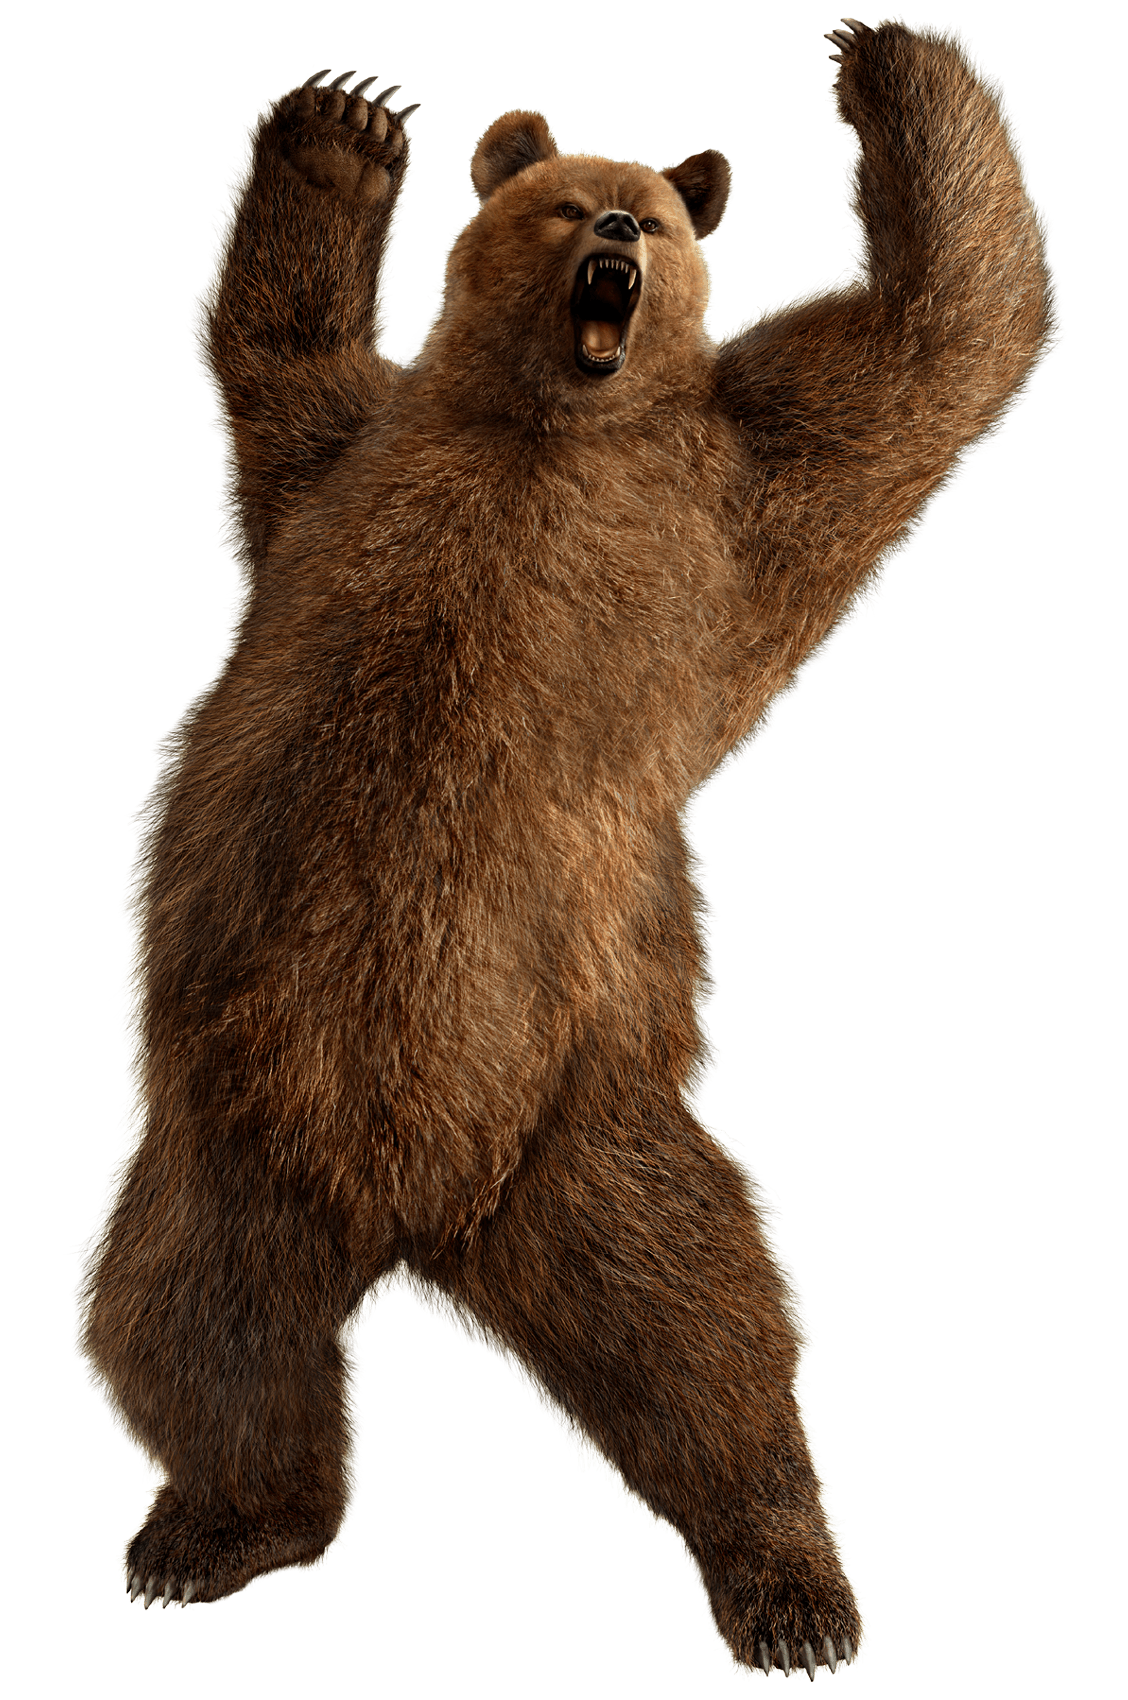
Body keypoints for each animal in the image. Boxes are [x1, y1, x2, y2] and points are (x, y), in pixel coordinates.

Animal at [71, 16, 1061, 1677]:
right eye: (561, 202)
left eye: (648, 214)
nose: (612, 240)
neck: (550, 424)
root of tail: (414, 1216)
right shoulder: (344, 473)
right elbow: (277, 361)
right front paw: (347, 128)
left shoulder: (732, 491)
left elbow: (933, 339)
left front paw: (887, 62)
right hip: (231, 1137)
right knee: (190, 1323)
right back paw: (211, 1531)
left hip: (580, 1117)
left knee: (709, 1320)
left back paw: (792, 1583)